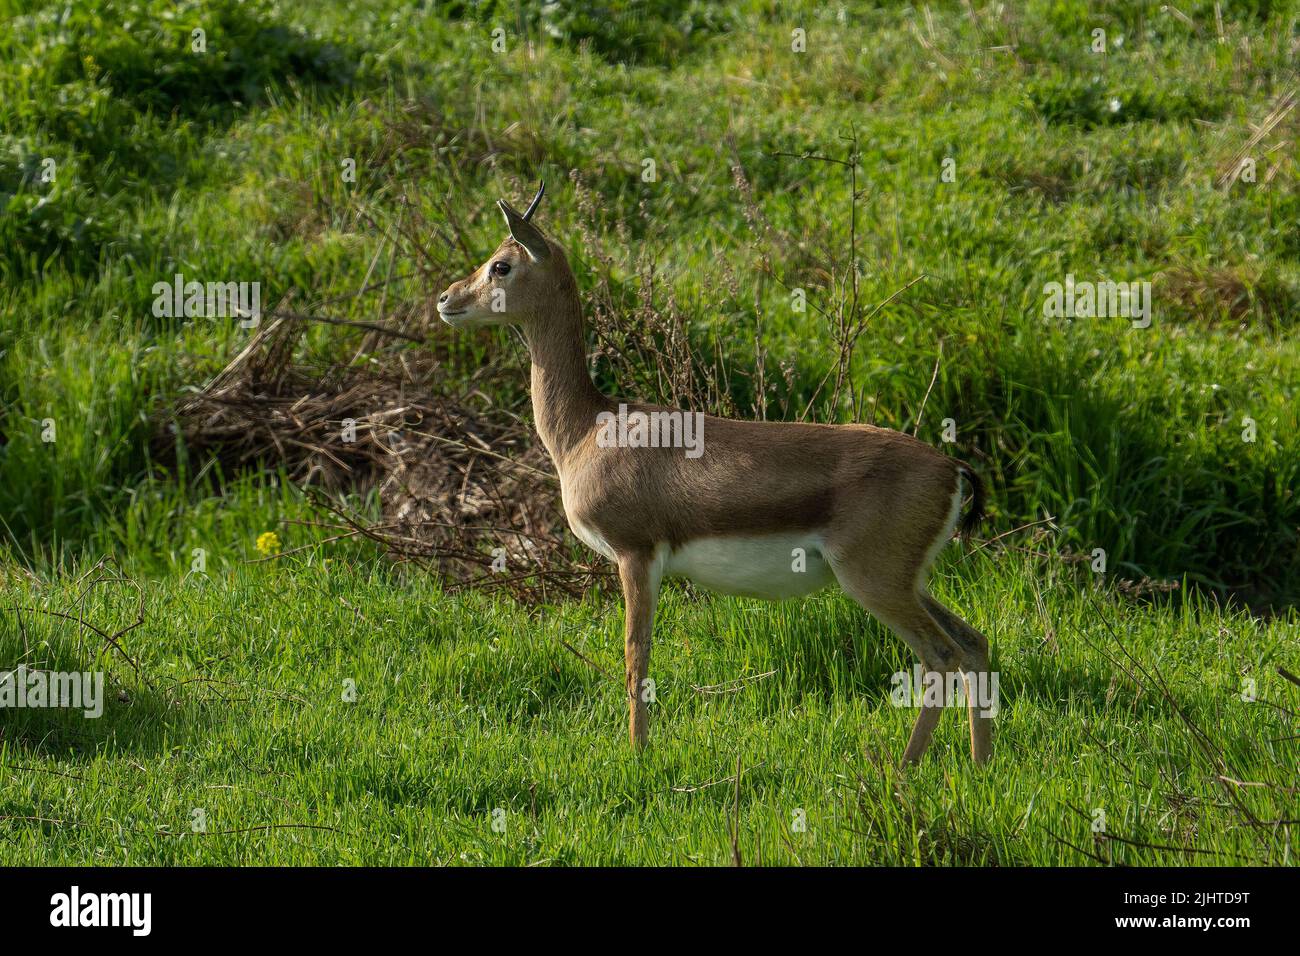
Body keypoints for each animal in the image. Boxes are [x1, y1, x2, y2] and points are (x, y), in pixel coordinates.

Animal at [437, 183, 993, 764]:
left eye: (500, 265)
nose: (446, 300)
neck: (588, 430)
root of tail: (951, 467)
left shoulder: (635, 556)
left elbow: (637, 655)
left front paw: (638, 756)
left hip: (874, 581)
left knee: (940, 655)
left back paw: (904, 769)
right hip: (909, 582)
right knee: (973, 643)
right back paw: (980, 765)